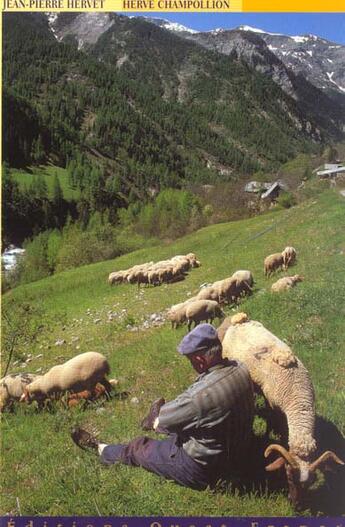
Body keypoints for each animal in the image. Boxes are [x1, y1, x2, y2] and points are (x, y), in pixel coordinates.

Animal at [219, 314, 342, 508]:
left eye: (312, 482)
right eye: (288, 477)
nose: (296, 505)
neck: (297, 395)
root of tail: (236, 318)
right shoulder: (273, 404)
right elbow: (271, 422)